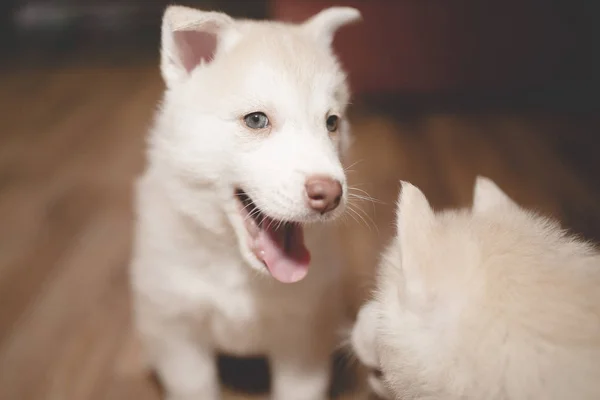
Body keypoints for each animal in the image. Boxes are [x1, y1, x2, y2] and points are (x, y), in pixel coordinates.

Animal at [130, 3, 360, 400]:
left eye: (332, 123)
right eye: (256, 120)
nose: (329, 194)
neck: (237, 268)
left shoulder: (304, 336)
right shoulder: (178, 331)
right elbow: (194, 385)